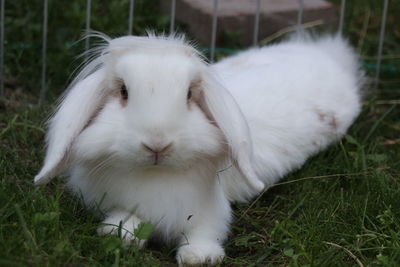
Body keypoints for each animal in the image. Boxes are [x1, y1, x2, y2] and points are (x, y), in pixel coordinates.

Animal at [34, 33, 362, 266]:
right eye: (124, 92)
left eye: (189, 94)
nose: (157, 143)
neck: (155, 175)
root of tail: (330, 55)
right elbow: (125, 216)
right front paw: (120, 232)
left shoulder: (209, 211)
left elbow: (205, 231)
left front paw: (200, 258)